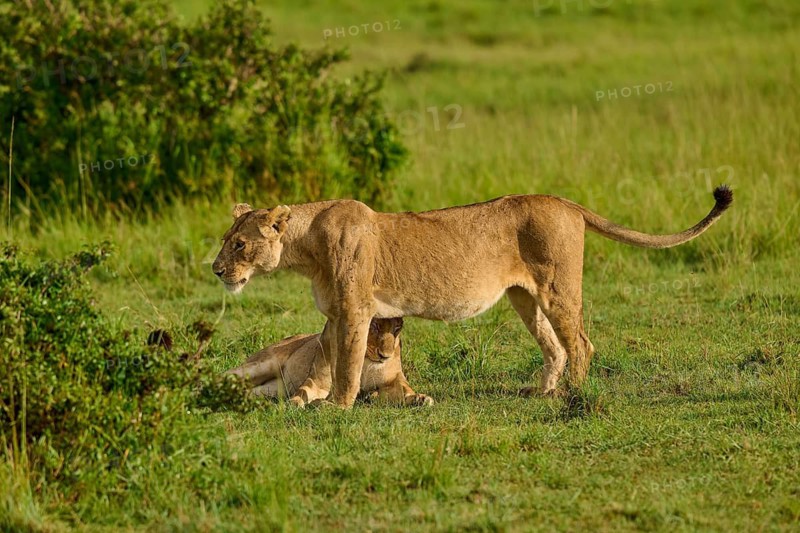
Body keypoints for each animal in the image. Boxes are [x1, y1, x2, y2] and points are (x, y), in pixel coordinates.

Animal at [226, 317, 433, 407]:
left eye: (397, 327)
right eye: (374, 325)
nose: (385, 355)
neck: (364, 360)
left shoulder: (393, 380)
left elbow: (404, 390)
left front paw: (420, 399)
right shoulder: (318, 382)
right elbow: (303, 393)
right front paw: (297, 404)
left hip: (273, 388)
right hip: (261, 364)